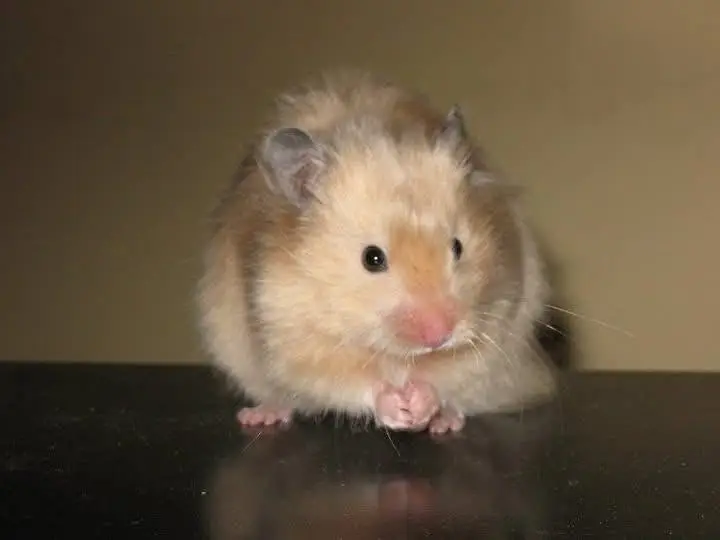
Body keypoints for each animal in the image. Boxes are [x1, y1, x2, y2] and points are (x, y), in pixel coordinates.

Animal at [196, 70, 557, 434]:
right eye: (372, 258)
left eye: (457, 247)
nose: (439, 336)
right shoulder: (291, 337)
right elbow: (348, 381)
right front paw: (399, 410)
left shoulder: (498, 316)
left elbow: (448, 371)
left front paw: (421, 406)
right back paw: (260, 415)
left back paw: (444, 422)